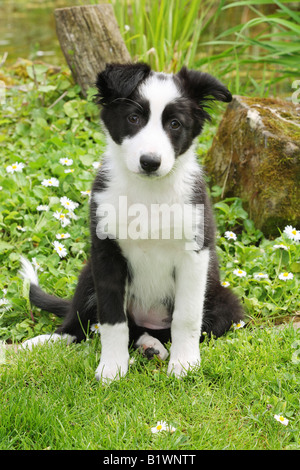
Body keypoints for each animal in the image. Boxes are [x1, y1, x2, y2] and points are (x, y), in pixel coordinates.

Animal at [19, 63, 243, 382]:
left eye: (175, 124)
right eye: (133, 118)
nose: (150, 162)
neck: (148, 193)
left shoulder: (195, 254)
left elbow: (186, 318)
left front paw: (184, 365)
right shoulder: (107, 254)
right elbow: (113, 320)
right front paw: (112, 368)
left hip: (225, 304)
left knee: (164, 330)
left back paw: (154, 348)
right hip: (88, 274)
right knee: (81, 323)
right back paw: (45, 341)